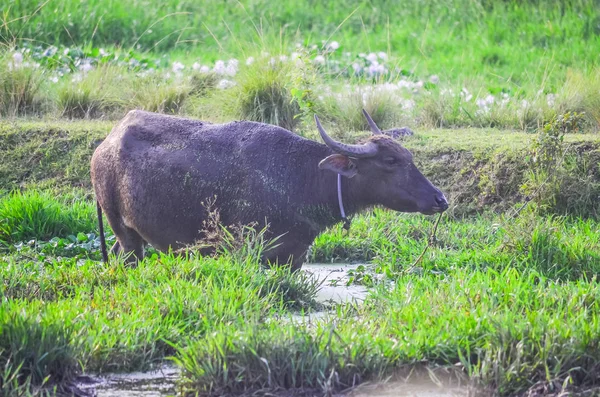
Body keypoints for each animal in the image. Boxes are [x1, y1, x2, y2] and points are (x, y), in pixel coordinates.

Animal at [90, 108, 446, 270]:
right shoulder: (247, 250)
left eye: (409, 157)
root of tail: (104, 145)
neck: (303, 179)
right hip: (123, 231)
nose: (440, 199)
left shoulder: (294, 257)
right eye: (390, 161)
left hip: (128, 237)